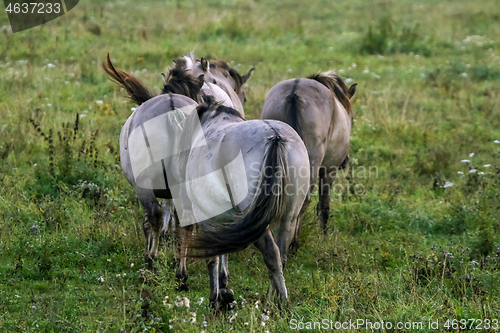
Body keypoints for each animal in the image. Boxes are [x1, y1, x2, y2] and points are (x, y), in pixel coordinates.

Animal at [260, 71, 358, 250]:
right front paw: (323, 236)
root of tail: (294, 93)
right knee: (302, 202)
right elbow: (323, 205)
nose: (345, 161)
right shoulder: (329, 170)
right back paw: (293, 243)